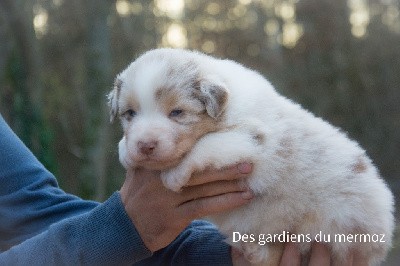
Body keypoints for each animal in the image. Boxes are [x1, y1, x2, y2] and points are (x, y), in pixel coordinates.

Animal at [108, 48, 394, 264]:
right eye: (129, 114)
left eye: (177, 113)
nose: (145, 145)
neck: (228, 106)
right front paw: (126, 152)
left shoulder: (249, 140)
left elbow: (206, 144)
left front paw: (175, 176)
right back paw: (251, 249)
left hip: (328, 228)